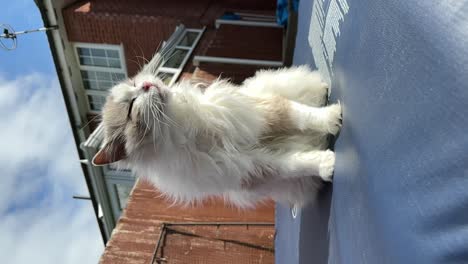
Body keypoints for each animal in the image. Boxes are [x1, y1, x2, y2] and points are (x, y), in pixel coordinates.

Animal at [92, 61, 340, 206]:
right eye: (131, 108)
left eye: (134, 83)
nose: (146, 85)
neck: (185, 131)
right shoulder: (254, 167)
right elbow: (295, 164)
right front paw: (327, 164)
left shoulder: (259, 116)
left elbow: (300, 116)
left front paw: (332, 117)